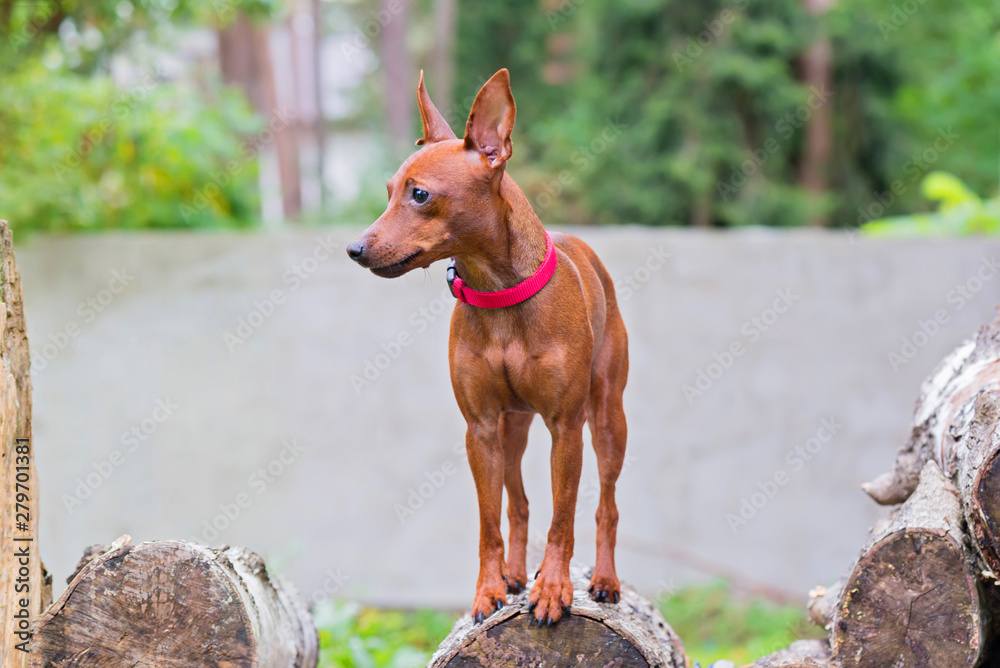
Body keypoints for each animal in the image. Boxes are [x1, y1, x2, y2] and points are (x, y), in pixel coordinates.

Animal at [348, 68, 628, 628]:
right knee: (517, 503)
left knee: (605, 504)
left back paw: (605, 580)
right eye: (389, 192)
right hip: (511, 429)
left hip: (607, 418)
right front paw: (490, 590)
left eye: (419, 194)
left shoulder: (566, 428)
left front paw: (554, 588)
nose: (356, 248)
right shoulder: (479, 430)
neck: (501, 295)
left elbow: (563, 518)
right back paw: (517, 573)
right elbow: (489, 521)